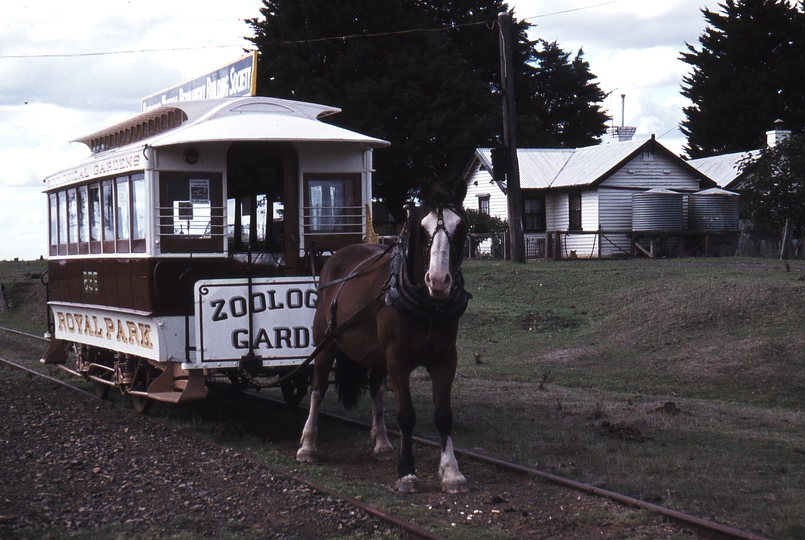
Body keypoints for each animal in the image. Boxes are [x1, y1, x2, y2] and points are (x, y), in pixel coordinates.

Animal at [296, 178, 472, 494]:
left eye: (460, 226)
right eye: (422, 228)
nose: (438, 280)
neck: (426, 305)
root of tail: (336, 256)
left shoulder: (445, 360)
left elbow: (443, 416)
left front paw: (452, 472)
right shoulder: (397, 358)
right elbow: (406, 415)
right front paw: (407, 473)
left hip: (376, 353)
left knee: (376, 387)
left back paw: (381, 442)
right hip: (326, 343)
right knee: (317, 388)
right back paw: (308, 445)